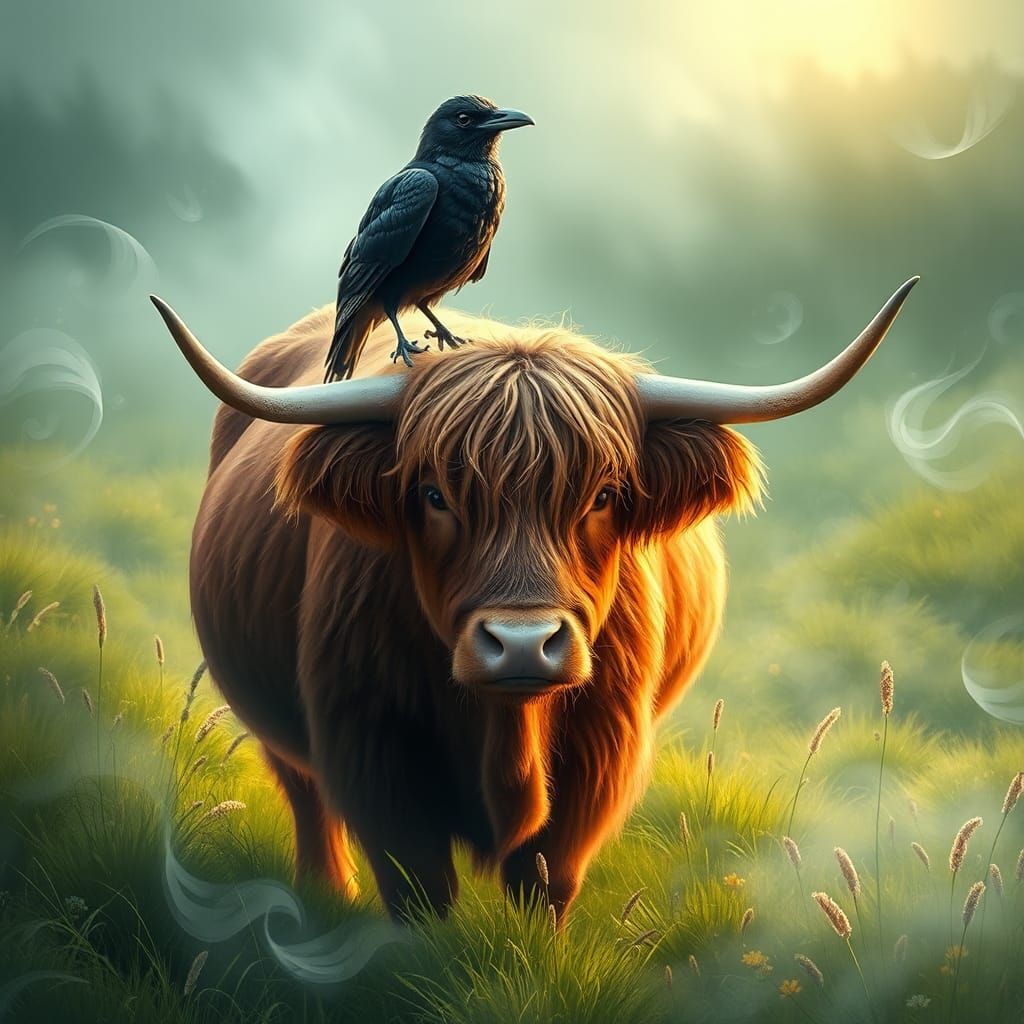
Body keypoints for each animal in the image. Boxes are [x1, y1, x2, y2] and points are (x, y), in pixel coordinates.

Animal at [151, 278, 917, 922]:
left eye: (604, 495)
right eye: (433, 494)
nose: (522, 644)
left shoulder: (599, 753)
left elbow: (545, 883)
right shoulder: (369, 744)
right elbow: (418, 889)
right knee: (307, 803)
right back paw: (326, 899)